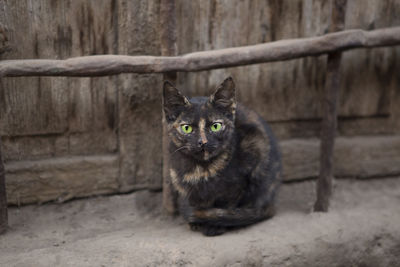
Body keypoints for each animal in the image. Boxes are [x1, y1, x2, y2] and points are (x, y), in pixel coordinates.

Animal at [162, 77, 282, 237]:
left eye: (216, 126)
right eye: (187, 128)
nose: (203, 142)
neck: (201, 168)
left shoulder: (238, 183)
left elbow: (226, 204)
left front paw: (214, 224)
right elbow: (194, 200)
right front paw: (196, 222)